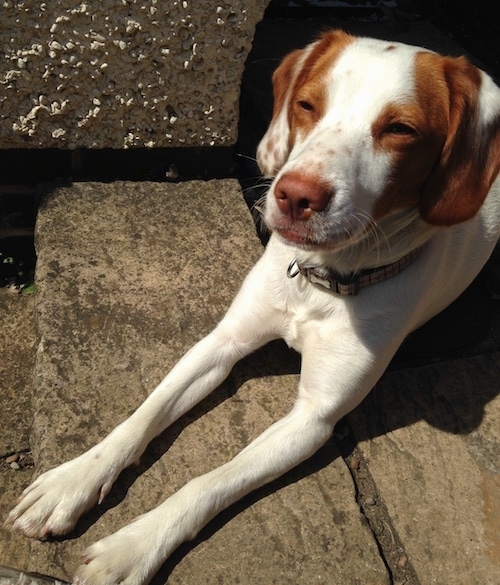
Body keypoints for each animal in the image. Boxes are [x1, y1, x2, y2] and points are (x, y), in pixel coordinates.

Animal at [6, 30, 500, 584]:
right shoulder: (224, 341)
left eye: (400, 129)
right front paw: (72, 480)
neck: (321, 281)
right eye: (306, 105)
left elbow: (207, 482)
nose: (295, 195)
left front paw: (132, 546)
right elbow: (142, 416)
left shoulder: (313, 419)